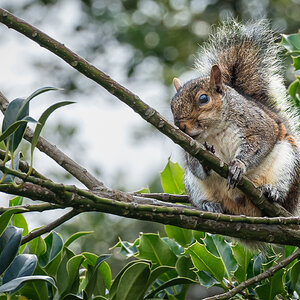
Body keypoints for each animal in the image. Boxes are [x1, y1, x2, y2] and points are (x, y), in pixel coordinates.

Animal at [171, 20, 300, 218]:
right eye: (172, 104)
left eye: (203, 98)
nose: (181, 126)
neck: (214, 130)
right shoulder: (190, 148)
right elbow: (195, 165)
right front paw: (205, 162)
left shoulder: (257, 124)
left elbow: (262, 141)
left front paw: (239, 165)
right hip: (192, 184)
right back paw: (209, 205)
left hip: (289, 162)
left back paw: (273, 192)